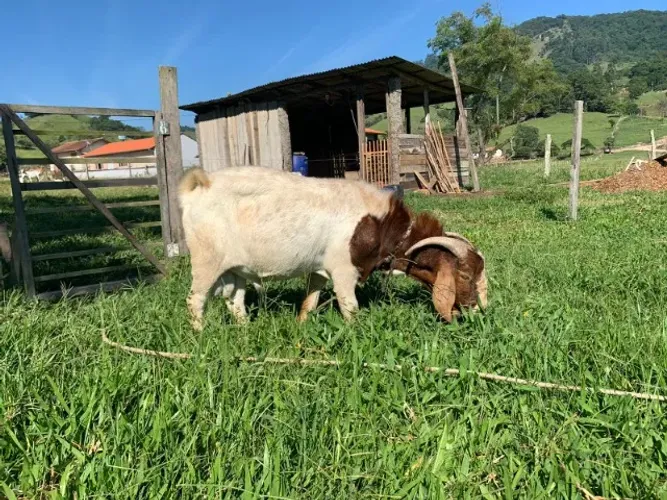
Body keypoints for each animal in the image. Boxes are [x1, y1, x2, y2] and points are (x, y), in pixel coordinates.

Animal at [178, 166, 487, 330]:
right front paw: (356, 336)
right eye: (464, 276)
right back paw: (200, 335)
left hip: (235, 269)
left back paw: (245, 330)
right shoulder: (343, 269)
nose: (476, 310)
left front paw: (301, 325)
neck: (382, 224)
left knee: (235, 301)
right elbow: (350, 307)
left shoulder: (321, 268)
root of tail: (199, 185)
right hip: (206, 262)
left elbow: (310, 300)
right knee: (195, 300)